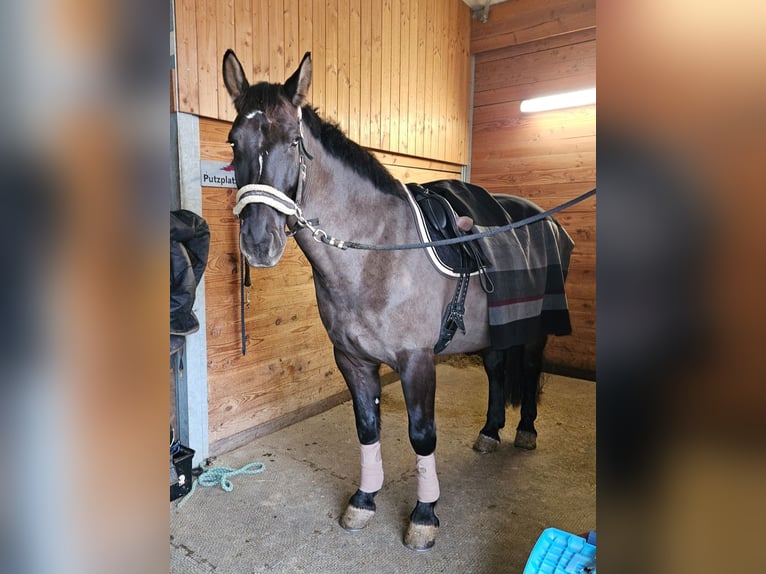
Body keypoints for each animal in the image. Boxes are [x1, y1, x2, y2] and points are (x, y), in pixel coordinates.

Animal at [222, 51, 576, 552]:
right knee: (496, 371)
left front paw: (424, 516)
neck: (377, 252)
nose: (258, 242)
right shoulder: (351, 359)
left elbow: (421, 435)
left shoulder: (416, 360)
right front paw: (364, 501)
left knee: (528, 368)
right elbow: (368, 428)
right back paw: (490, 431)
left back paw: (525, 430)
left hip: (535, 328)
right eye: (234, 141)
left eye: (293, 141)